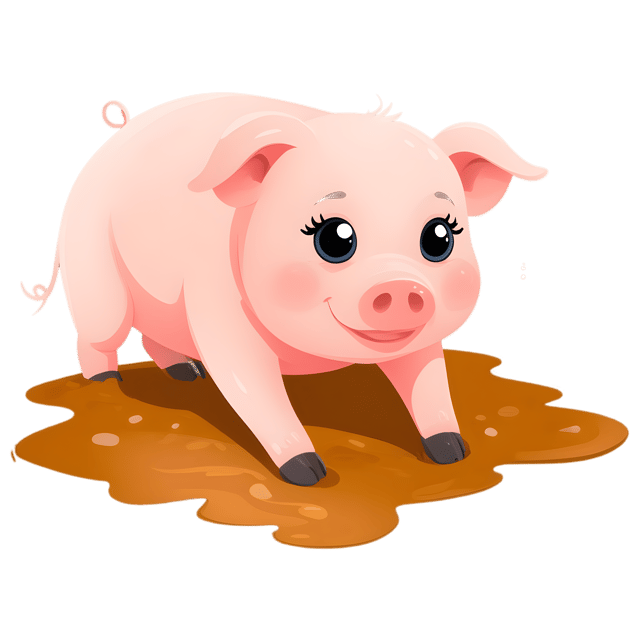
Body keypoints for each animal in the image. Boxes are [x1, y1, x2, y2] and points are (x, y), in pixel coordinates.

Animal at [20, 92, 548, 486]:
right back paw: (107, 385)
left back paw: (187, 375)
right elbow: (251, 387)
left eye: (440, 237)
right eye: (333, 237)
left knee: (157, 336)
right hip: (94, 275)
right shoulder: (218, 312)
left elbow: (428, 381)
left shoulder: (420, 342)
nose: (400, 285)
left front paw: (453, 453)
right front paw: (310, 476)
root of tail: (117, 133)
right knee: (96, 336)